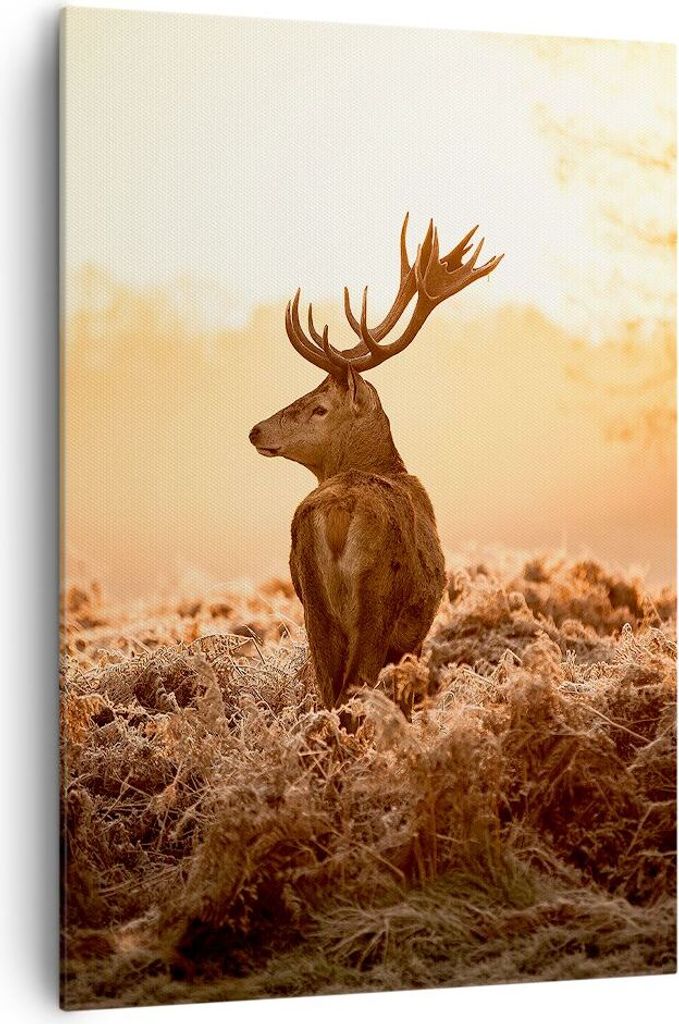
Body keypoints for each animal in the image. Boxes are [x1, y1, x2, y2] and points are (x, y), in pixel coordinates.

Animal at [249, 214, 503, 715]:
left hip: (313, 606)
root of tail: (336, 514)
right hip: (377, 603)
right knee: (355, 689)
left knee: (329, 691)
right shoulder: (413, 636)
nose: (256, 430)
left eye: (319, 407)